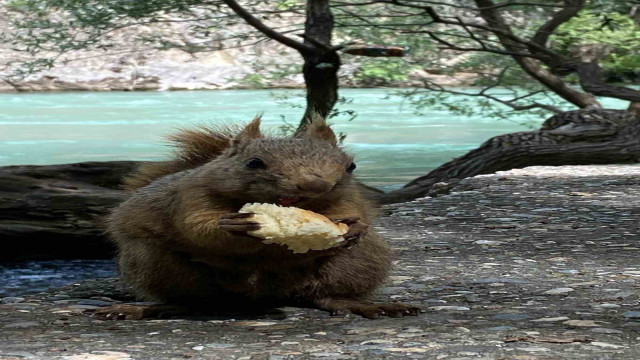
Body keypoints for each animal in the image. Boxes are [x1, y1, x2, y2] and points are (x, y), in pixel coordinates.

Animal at [106, 114, 420, 318]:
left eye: (351, 166)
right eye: (254, 163)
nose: (314, 185)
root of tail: (261, 295)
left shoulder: (348, 198)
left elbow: (350, 213)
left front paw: (354, 226)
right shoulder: (190, 195)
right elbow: (197, 225)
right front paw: (232, 225)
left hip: (358, 262)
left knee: (324, 295)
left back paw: (359, 304)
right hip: (154, 261)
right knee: (195, 301)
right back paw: (154, 308)